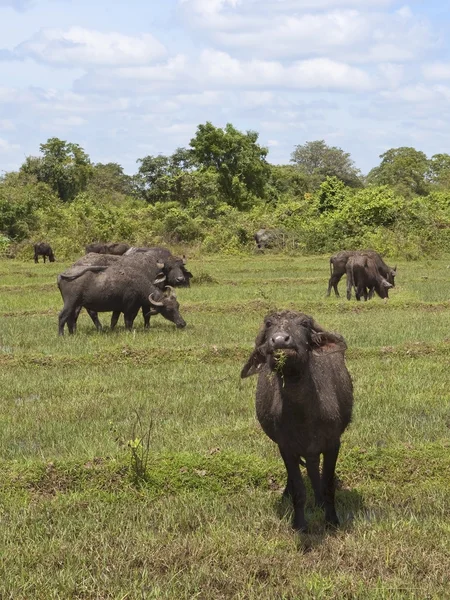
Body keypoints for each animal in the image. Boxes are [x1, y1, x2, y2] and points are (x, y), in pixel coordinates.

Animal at [241, 312, 354, 532]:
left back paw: (319, 500)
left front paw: (332, 520)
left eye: (304, 324)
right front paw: (300, 524)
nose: (279, 341)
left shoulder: (333, 444)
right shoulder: (286, 447)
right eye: (269, 324)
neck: (303, 416)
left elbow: (328, 486)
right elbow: (299, 490)